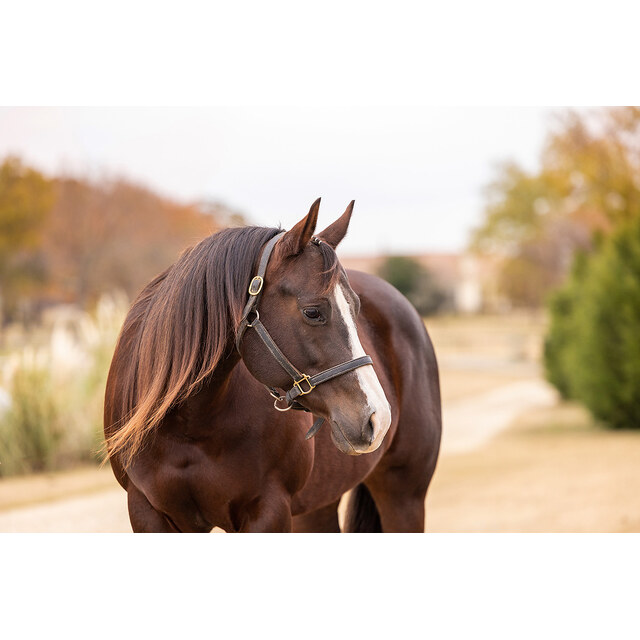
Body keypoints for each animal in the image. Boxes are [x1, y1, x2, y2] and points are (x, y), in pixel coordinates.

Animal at [103, 198, 441, 532]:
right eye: (313, 312)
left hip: (403, 495)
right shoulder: (147, 512)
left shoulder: (268, 511)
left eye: (356, 308)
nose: (378, 418)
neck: (187, 424)